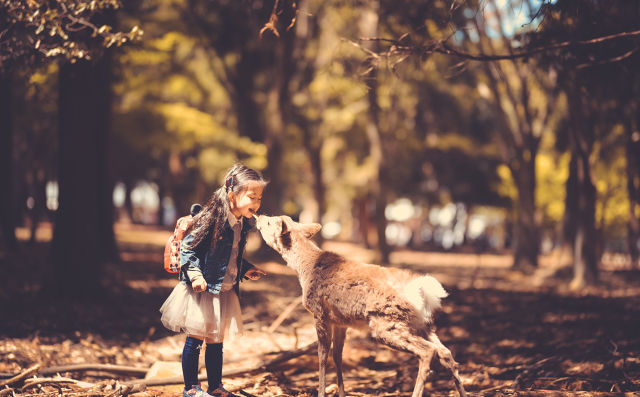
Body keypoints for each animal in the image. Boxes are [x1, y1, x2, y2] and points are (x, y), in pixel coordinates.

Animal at [254, 215, 464, 394]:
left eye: (270, 222)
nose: (259, 216)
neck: (305, 269)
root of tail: (423, 291)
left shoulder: (319, 312)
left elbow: (322, 356)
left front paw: (321, 392)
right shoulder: (340, 321)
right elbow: (337, 355)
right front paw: (341, 393)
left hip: (387, 323)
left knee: (428, 351)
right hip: (422, 324)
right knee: (445, 352)